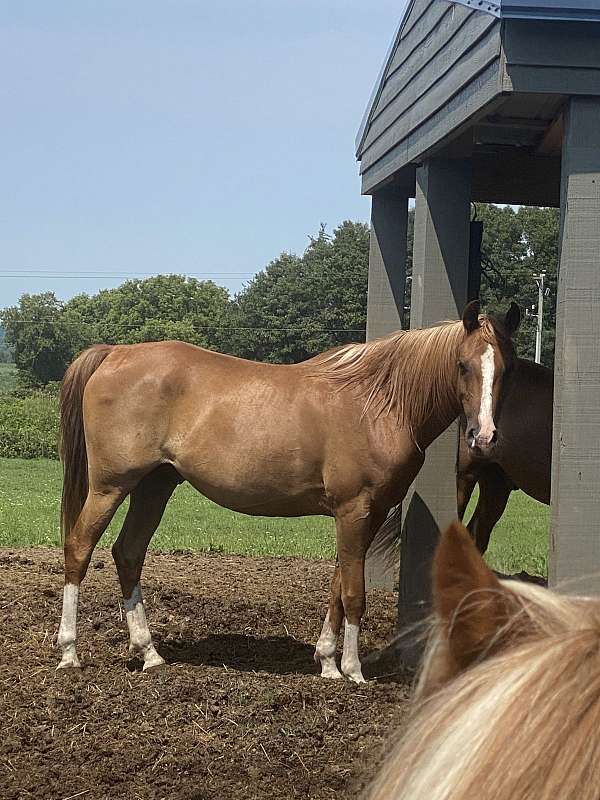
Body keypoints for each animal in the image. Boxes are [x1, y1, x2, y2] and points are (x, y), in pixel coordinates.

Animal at [55, 300, 516, 680]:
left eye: (507, 368)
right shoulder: (355, 510)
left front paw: (327, 662)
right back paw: (69, 652)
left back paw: (149, 652)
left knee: (128, 553)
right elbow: (355, 592)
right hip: (111, 486)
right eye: (463, 365)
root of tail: (116, 352)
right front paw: (353, 671)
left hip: (155, 486)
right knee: (79, 548)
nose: (484, 437)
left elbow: (338, 586)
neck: (380, 403)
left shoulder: (364, 515)